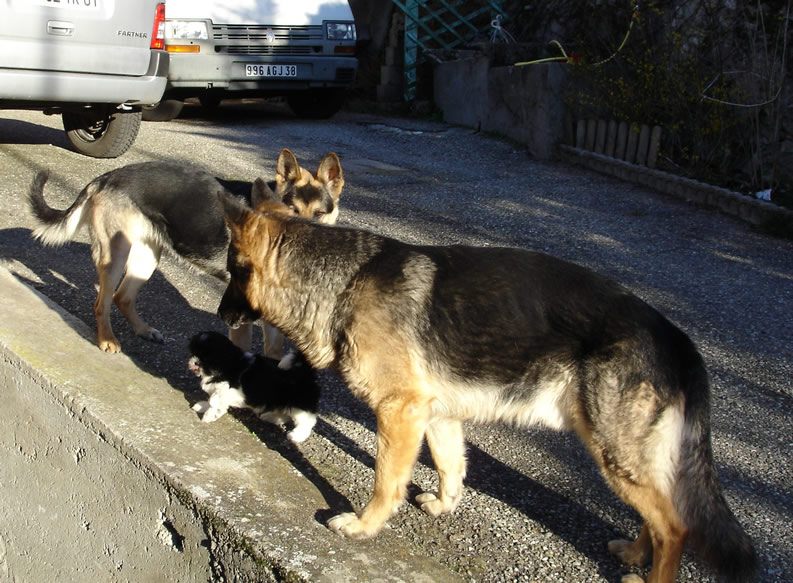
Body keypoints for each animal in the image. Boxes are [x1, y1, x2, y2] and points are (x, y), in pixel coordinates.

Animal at [26, 148, 342, 354]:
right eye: (292, 210)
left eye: (320, 214)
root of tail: (106, 177)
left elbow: (273, 354)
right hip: (115, 256)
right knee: (101, 302)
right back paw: (107, 340)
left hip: (146, 259)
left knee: (122, 297)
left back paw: (143, 330)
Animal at [186, 334, 318, 442]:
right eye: (193, 353)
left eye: (207, 359)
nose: (196, 362)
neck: (227, 365)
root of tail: (304, 372)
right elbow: (212, 399)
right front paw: (203, 406)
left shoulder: (228, 389)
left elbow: (214, 400)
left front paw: (209, 415)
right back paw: (270, 417)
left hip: (299, 405)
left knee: (307, 421)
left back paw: (297, 436)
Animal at [215, 193, 756, 583]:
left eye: (230, 273)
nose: (220, 316)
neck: (346, 280)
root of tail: (676, 338)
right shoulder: (435, 414)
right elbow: (451, 465)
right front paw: (444, 505)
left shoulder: (399, 410)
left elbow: (386, 481)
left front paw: (365, 526)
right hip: (628, 455)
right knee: (661, 516)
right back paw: (636, 552)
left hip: (613, 450)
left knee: (675, 527)